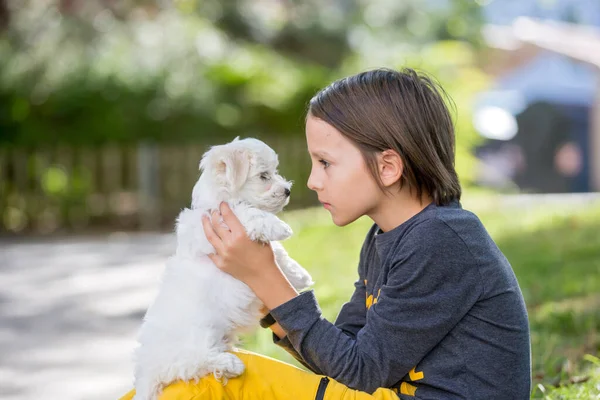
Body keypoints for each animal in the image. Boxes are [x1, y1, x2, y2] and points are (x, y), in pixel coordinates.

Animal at [132, 138, 314, 400]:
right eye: (264, 176)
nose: (287, 190)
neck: (216, 202)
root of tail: (146, 372)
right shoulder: (221, 220)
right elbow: (247, 212)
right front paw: (278, 227)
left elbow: (278, 254)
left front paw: (298, 275)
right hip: (196, 337)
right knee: (192, 362)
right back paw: (230, 364)